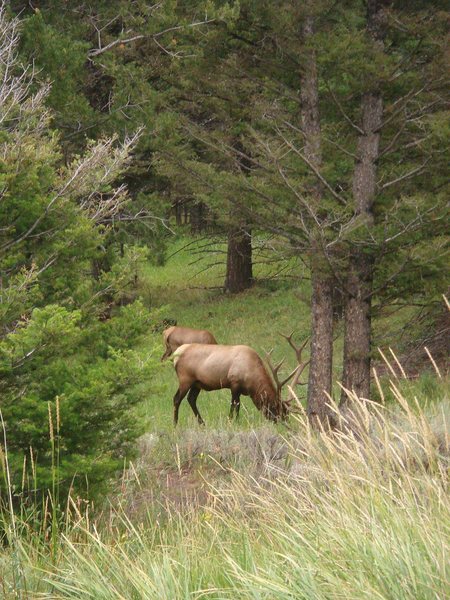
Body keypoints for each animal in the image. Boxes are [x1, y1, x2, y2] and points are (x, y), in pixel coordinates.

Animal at [171, 332, 308, 426]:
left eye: (287, 413)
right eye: (277, 409)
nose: (284, 424)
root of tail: (175, 356)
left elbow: (237, 406)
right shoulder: (234, 383)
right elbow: (235, 405)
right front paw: (232, 422)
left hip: (196, 383)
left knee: (191, 399)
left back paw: (202, 423)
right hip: (185, 379)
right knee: (177, 399)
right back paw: (175, 424)